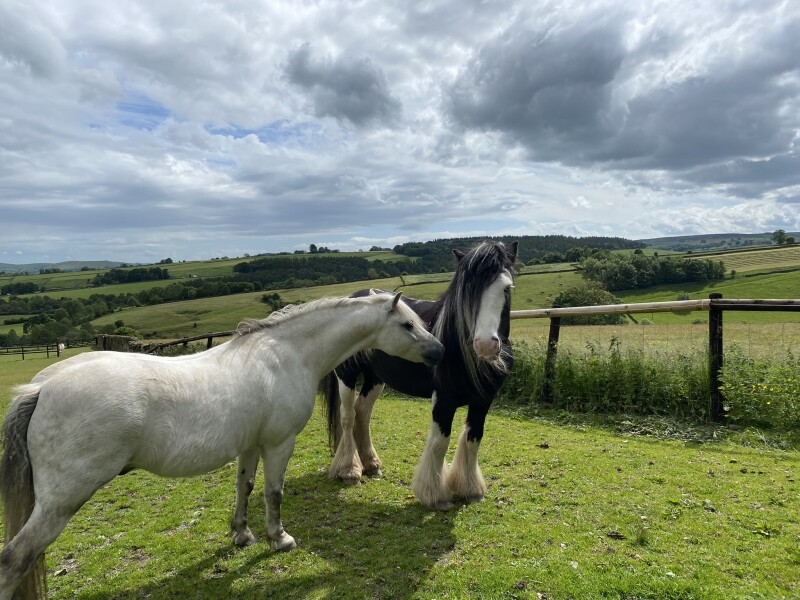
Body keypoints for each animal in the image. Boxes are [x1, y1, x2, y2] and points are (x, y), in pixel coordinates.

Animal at [0, 293, 443, 600]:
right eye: (407, 324)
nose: (439, 351)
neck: (285, 355)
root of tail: (42, 389)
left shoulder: (250, 445)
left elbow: (244, 487)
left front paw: (242, 535)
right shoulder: (279, 443)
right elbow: (273, 493)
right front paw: (279, 539)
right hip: (61, 503)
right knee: (15, 559)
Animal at [324, 240, 517, 510]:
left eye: (506, 288)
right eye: (467, 290)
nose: (485, 345)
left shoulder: (483, 401)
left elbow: (473, 439)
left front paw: (470, 489)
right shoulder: (443, 400)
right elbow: (439, 444)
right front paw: (435, 495)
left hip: (376, 379)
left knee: (362, 412)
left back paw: (371, 464)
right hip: (347, 374)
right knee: (348, 416)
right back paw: (350, 470)